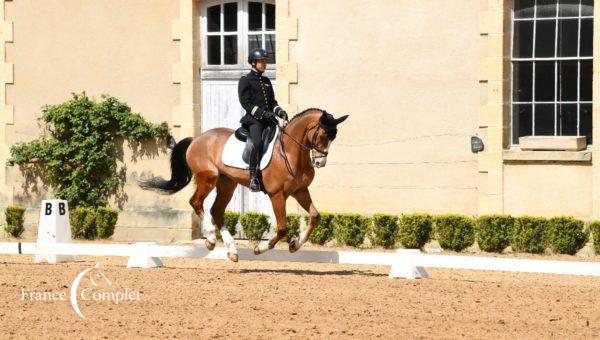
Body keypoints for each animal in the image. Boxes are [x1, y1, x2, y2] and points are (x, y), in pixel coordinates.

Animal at [139, 107, 346, 262]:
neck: (290, 151)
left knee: (216, 211)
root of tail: (196, 139)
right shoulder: (277, 194)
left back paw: (232, 251)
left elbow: (315, 216)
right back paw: (211, 239)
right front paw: (260, 248)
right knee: (196, 202)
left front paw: (295, 245)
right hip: (208, 177)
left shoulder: (300, 190)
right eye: (323, 135)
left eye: (333, 137)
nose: (320, 162)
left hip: (227, 183)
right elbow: (282, 227)